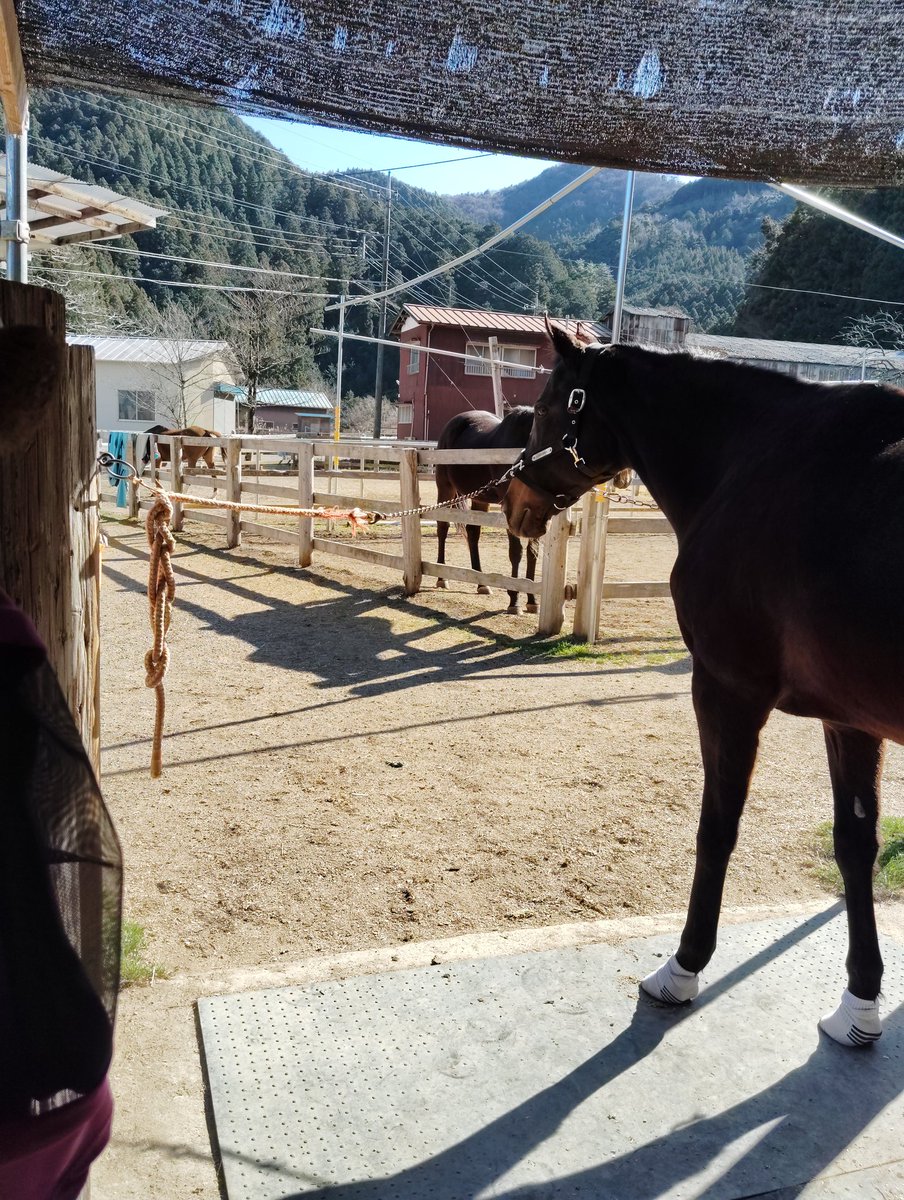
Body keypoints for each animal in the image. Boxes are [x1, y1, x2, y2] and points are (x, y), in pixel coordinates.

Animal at [435, 408, 539, 615]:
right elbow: (516, 552)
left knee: (473, 533)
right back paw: (442, 577)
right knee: (443, 527)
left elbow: (532, 552)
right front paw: (514, 601)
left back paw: (481, 582)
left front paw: (532, 599)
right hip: (445, 488)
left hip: (479, 498)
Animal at [503, 321, 904, 1047]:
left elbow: (717, 828)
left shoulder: (727, 691)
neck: (752, 462)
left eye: (546, 409)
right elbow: (856, 845)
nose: (512, 500)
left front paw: (684, 967)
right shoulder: (851, 718)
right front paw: (860, 1004)